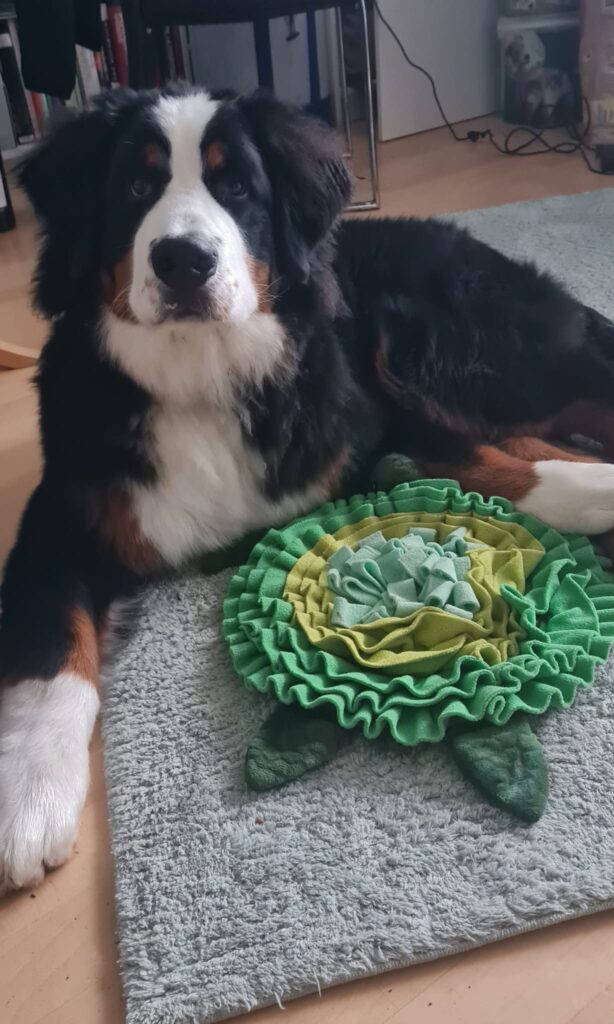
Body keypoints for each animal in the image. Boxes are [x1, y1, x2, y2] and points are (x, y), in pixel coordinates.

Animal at [2, 83, 614, 892]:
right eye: (136, 187)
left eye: (236, 187)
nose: (182, 260)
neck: (201, 377)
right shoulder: (64, 515)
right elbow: (47, 656)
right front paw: (30, 798)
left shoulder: (365, 423)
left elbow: (465, 460)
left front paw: (595, 493)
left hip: (453, 350)